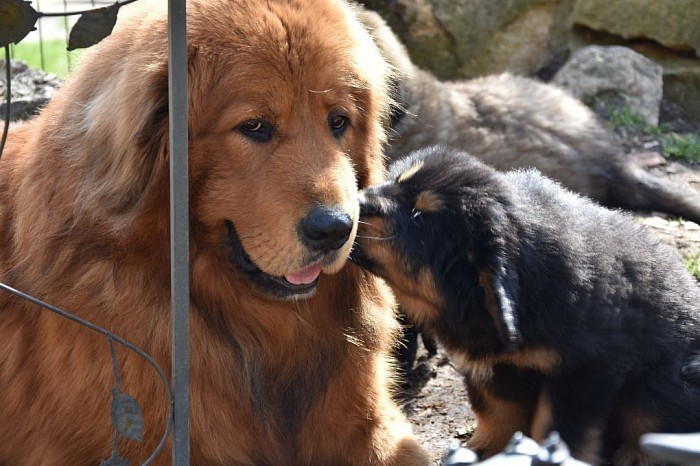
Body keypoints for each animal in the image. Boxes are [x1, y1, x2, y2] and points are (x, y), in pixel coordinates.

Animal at [352, 146, 700, 466]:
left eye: (419, 217)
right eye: (396, 180)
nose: (355, 203)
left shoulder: (586, 366)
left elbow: (558, 427)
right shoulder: (497, 369)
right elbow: (496, 414)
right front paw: (482, 451)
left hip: (659, 385)